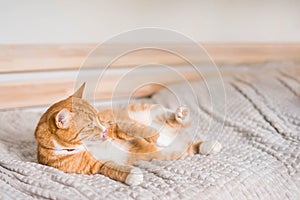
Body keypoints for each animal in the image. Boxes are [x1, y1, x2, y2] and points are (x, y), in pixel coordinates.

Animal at [35, 83, 223, 185]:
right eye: (89, 125)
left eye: (99, 118)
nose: (104, 131)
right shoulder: (97, 165)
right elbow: (114, 170)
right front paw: (132, 175)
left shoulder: (116, 126)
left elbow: (137, 129)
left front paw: (156, 136)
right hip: (174, 152)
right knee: (190, 146)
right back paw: (208, 145)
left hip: (145, 109)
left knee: (169, 117)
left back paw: (179, 116)